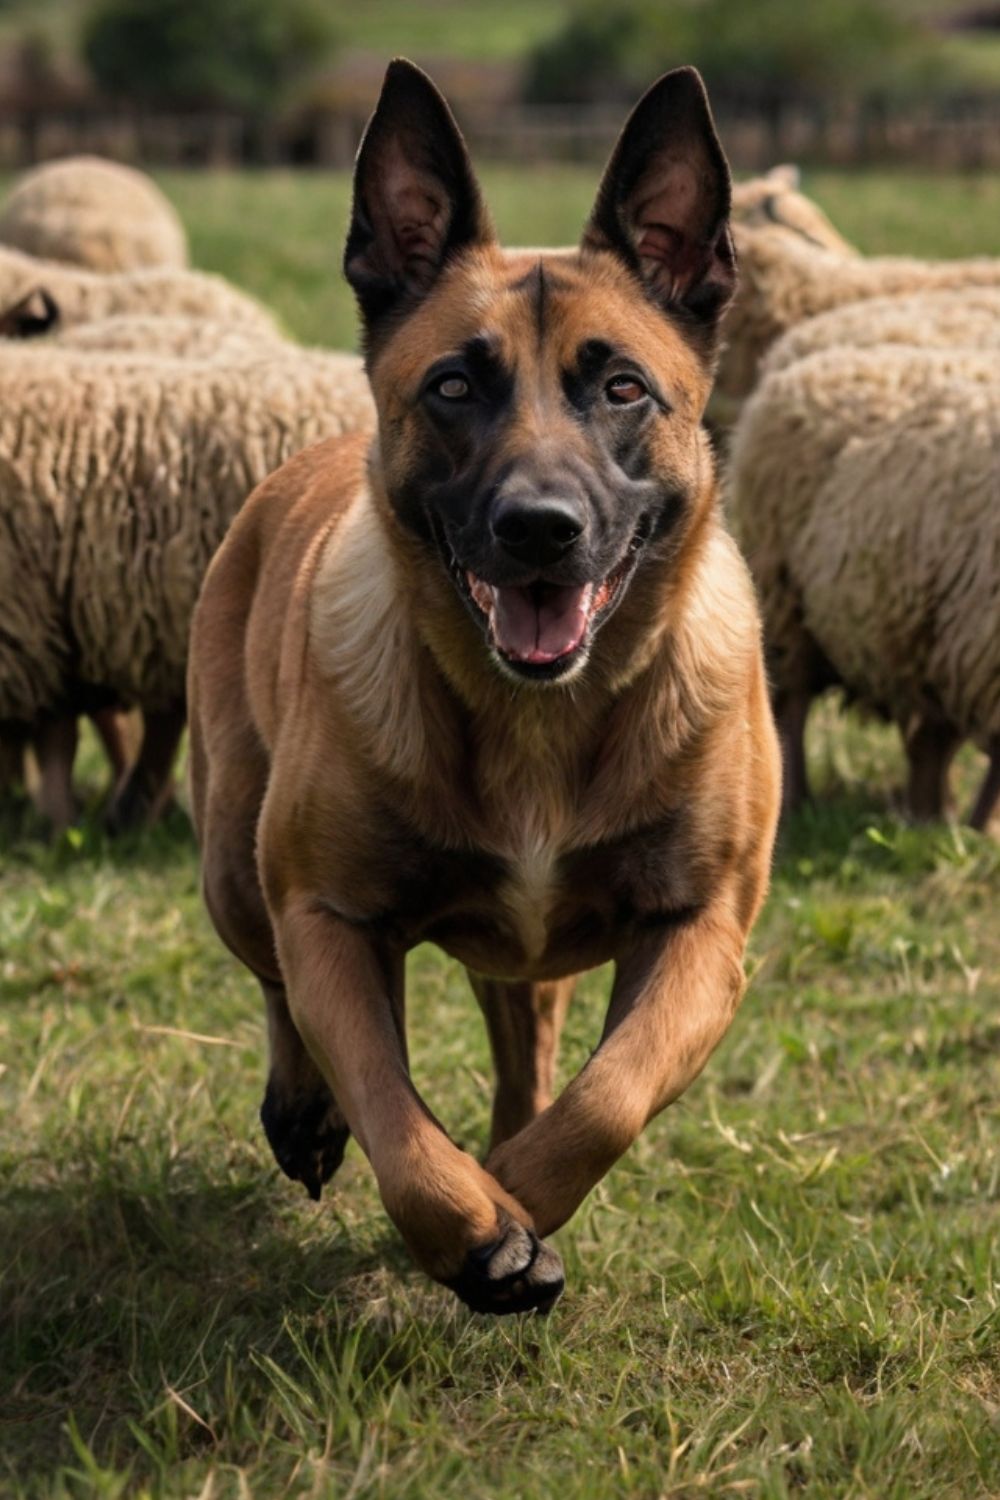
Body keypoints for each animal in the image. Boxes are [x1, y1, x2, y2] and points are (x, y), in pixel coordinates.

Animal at [728, 344, 1000, 830]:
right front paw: (982, 829)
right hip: (784, 597)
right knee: (793, 707)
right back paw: (798, 803)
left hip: (920, 630)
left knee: (931, 737)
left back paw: (930, 816)